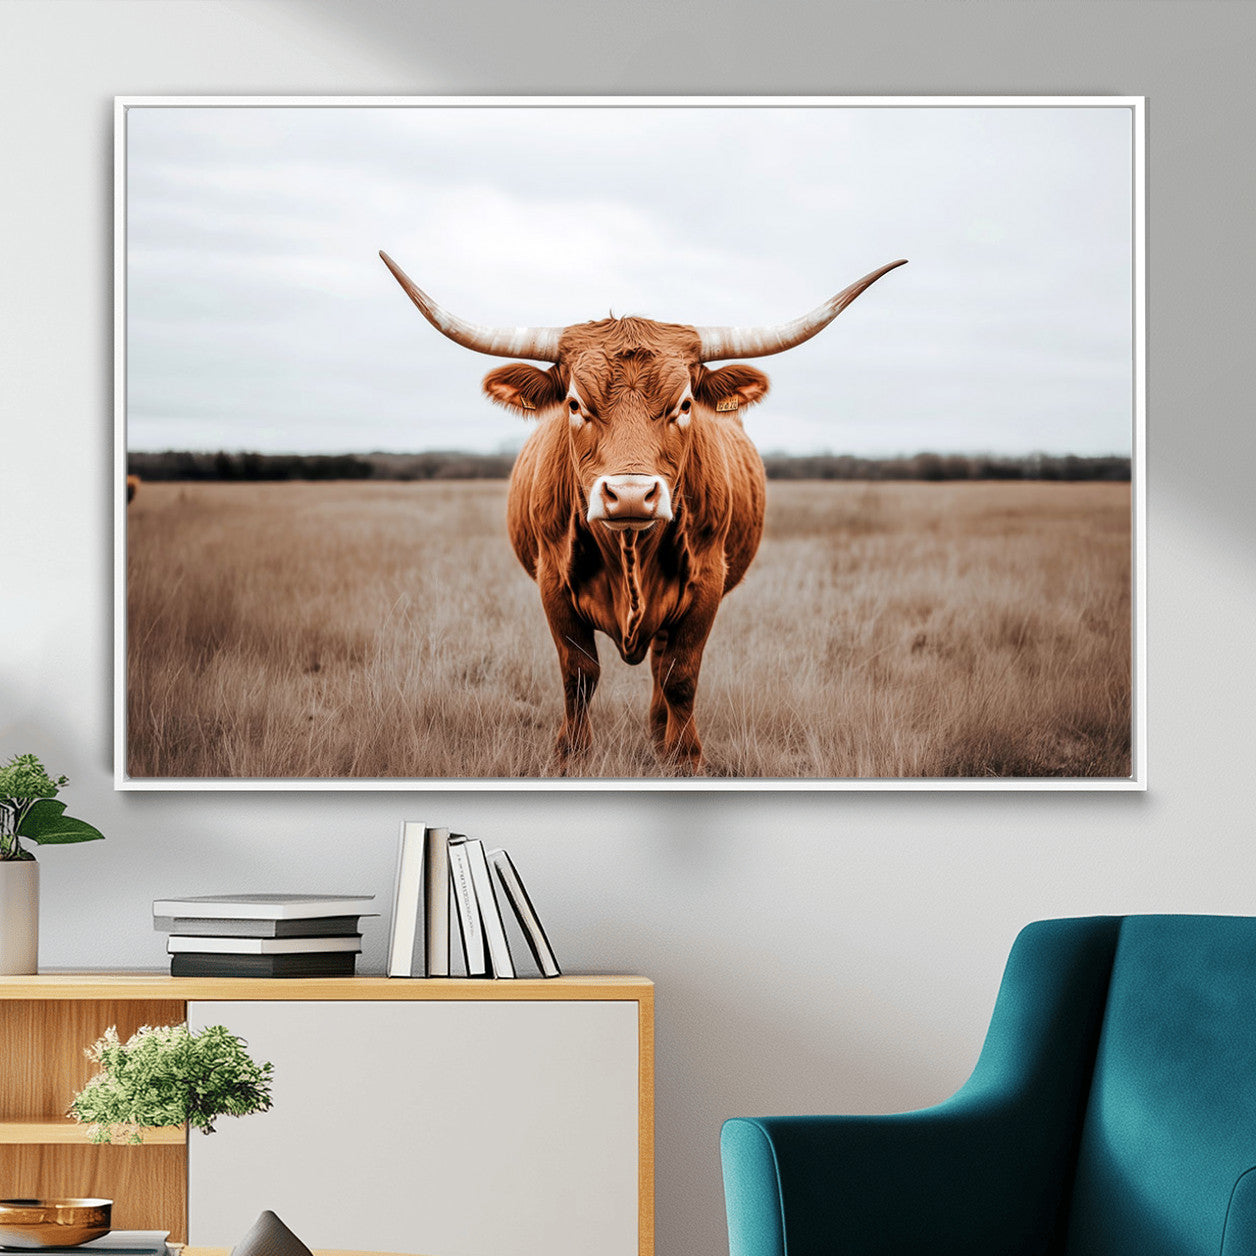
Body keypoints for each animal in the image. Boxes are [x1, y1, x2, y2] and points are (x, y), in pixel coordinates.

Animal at [381, 251, 905, 772]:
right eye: (575, 403)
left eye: (685, 404)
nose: (631, 495)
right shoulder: (553, 582)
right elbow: (579, 674)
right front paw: (571, 757)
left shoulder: (707, 583)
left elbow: (680, 675)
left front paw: (684, 757)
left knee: (660, 664)